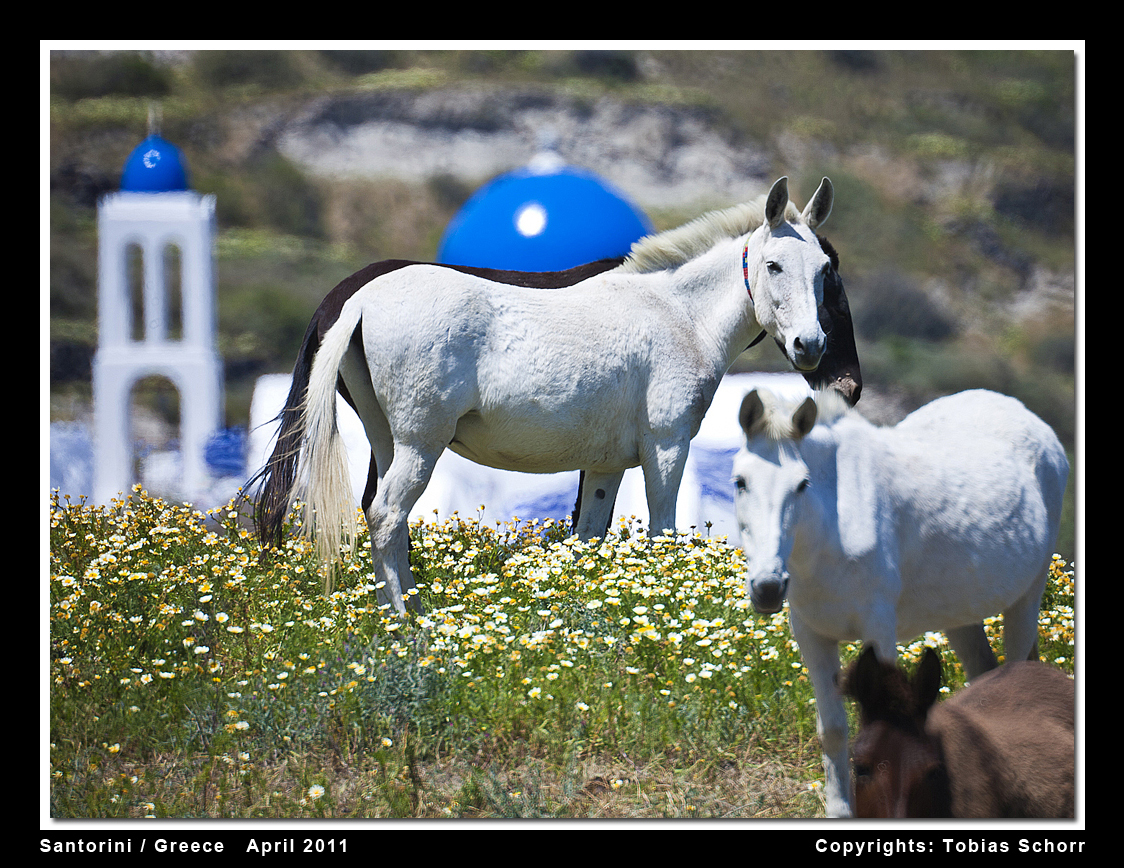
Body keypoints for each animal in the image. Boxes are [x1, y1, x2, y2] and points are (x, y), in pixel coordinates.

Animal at [257, 176, 836, 611]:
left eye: (824, 270)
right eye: (773, 266)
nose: (810, 346)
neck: (678, 314)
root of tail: (358, 301)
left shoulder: (605, 466)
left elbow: (588, 540)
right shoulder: (667, 447)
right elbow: (663, 532)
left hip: (388, 441)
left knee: (381, 517)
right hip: (421, 445)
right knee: (385, 515)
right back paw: (408, 622)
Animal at [732, 389, 1065, 818]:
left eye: (802, 484)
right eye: (740, 482)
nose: (769, 587)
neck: (833, 528)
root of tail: (1033, 421)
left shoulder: (878, 631)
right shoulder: (812, 635)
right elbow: (833, 730)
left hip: (1027, 598)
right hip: (961, 617)